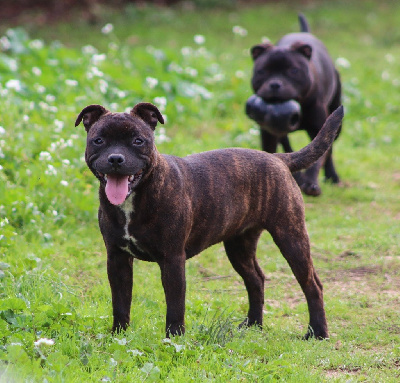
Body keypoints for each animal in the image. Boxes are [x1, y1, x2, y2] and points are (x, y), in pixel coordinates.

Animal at [76, 102, 344, 340]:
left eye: (137, 141)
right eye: (98, 140)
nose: (115, 159)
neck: (135, 197)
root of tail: (278, 158)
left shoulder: (172, 260)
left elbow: (175, 305)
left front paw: (174, 339)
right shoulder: (117, 259)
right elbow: (120, 302)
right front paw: (118, 336)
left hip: (291, 236)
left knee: (312, 284)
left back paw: (317, 333)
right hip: (239, 246)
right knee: (256, 279)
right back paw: (253, 325)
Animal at [248, 13, 342, 196]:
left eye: (293, 71)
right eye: (262, 71)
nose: (275, 84)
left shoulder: (318, 129)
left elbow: (317, 158)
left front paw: (311, 184)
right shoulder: (268, 133)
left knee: (329, 150)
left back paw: (332, 176)